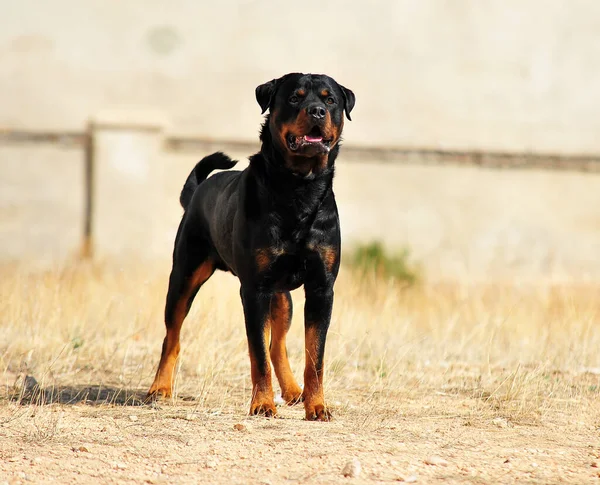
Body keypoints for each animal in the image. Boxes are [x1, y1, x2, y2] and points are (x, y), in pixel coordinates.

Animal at [147, 72, 354, 420]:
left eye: (330, 101)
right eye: (295, 98)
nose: (316, 112)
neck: (299, 188)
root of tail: (198, 191)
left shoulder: (321, 288)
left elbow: (315, 357)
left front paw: (317, 406)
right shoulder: (255, 290)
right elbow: (257, 353)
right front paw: (262, 404)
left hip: (282, 297)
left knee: (277, 344)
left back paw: (293, 390)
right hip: (184, 276)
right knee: (172, 336)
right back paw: (160, 388)